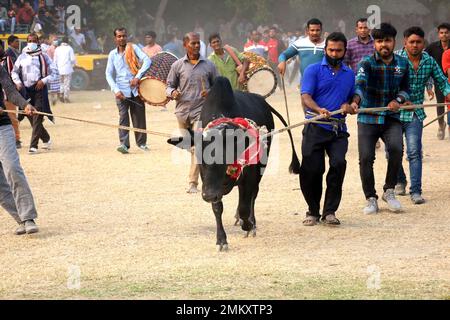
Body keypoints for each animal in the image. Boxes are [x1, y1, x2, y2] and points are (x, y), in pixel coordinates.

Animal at [169, 77, 298, 250]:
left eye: (225, 157)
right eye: (200, 160)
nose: (208, 195)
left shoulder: (249, 177)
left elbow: (245, 206)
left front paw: (248, 225)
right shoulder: (211, 185)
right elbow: (217, 208)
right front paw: (221, 240)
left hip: (261, 168)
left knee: (253, 196)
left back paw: (251, 222)